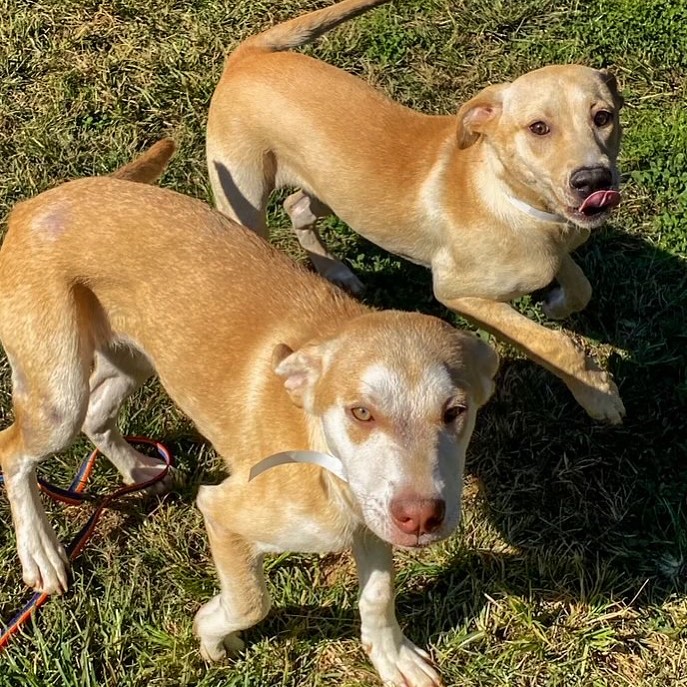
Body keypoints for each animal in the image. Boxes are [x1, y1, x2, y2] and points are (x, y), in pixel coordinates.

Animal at [0, 142, 498, 684]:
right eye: (361, 412)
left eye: (455, 411)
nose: (421, 517)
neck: (321, 455)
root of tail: (35, 205)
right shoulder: (223, 511)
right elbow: (251, 601)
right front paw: (211, 633)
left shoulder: (371, 520)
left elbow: (378, 595)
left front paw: (392, 657)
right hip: (59, 394)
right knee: (13, 449)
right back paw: (41, 553)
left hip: (138, 357)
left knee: (97, 415)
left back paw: (139, 469)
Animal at [208, 0, 628, 424]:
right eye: (538, 128)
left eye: (603, 117)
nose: (593, 179)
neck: (514, 201)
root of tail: (248, 56)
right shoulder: (457, 293)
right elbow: (550, 343)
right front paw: (599, 394)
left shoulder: (558, 244)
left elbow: (581, 288)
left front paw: (558, 305)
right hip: (244, 198)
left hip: (335, 190)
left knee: (297, 206)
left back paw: (335, 270)